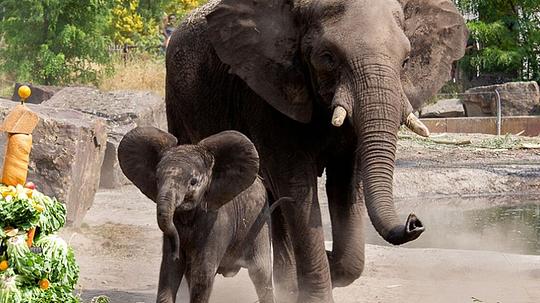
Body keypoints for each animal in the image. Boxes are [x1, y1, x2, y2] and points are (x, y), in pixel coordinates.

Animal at [118, 127, 278, 303]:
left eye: (193, 182)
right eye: (157, 179)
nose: (176, 251)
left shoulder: (216, 223)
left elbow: (202, 273)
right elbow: (169, 271)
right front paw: (175, 259)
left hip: (260, 224)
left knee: (261, 273)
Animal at [165, 0, 468, 302]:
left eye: (405, 61)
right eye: (328, 57)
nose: (414, 221)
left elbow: (346, 183)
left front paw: (332, 266)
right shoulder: (266, 91)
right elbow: (298, 186)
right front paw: (322, 277)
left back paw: (287, 288)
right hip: (176, 102)